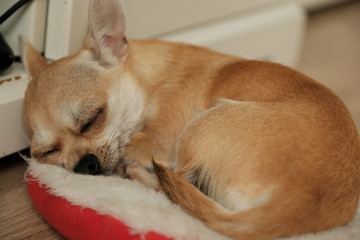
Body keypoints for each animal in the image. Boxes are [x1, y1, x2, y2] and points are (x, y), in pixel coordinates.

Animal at [21, 0, 358, 240]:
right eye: (46, 153)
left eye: (93, 119)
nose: (83, 165)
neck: (148, 81)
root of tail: (299, 201)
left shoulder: (157, 139)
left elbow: (134, 145)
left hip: (198, 127)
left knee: (171, 182)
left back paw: (134, 172)